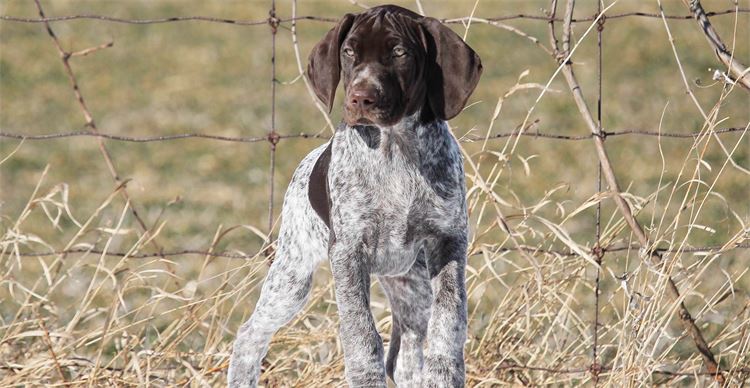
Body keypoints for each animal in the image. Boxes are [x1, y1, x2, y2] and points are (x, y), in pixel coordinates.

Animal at [229, 4, 484, 386]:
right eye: (348, 52)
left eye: (400, 53)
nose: (361, 98)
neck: (395, 149)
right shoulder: (348, 251)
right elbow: (360, 330)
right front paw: (366, 375)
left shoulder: (448, 239)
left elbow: (450, 316)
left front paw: (444, 369)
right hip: (292, 276)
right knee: (250, 334)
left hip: (411, 283)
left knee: (407, 350)